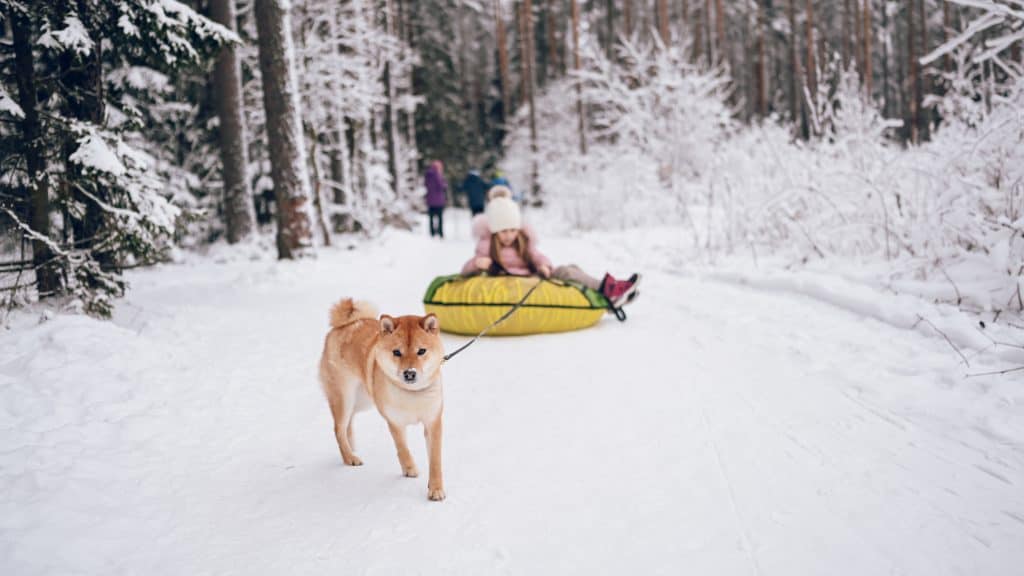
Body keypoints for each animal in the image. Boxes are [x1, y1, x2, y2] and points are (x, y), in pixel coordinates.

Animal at [317, 297, 446, 500]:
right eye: (397, 352)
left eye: (421, 351)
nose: (409, 373)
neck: (412, 393)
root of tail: (345, 325)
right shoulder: (394, 422)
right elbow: (402, 448)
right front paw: (409, 468)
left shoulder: (433, 422)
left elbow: (435, 461)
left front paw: (436, 489)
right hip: (344, 397)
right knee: (338, 429)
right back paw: (350, 457)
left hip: (362, 400)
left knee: (348, 424)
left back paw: (352, 446)